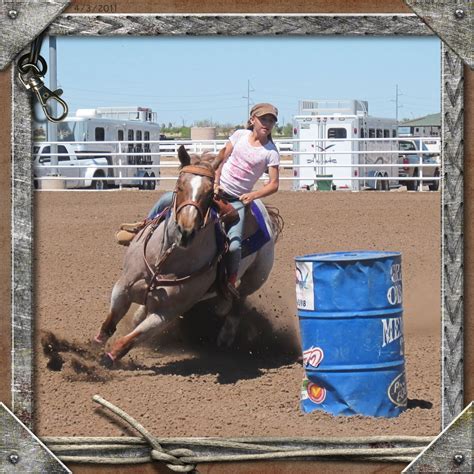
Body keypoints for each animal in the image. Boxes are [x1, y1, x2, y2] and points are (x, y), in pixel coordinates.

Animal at [94, 144, 284, 366]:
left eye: (210, 193)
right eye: (179, 185)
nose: (186, 231)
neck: (165, 258)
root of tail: (265, 214)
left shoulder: (167, 313)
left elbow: (129, 340)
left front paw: (106, 358)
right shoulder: (123, 286)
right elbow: (110, 322)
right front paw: (95, 344)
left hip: (255, 278)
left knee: (239, 301)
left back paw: (226, 336)